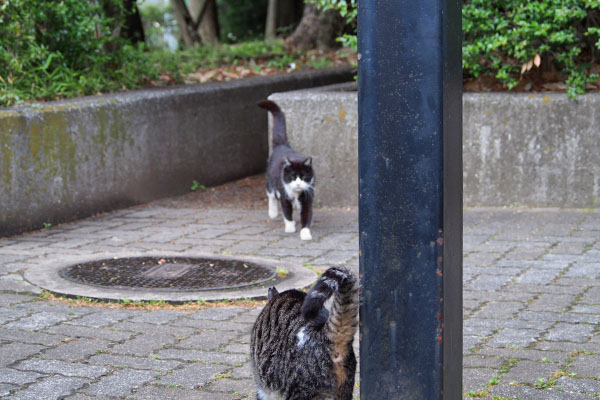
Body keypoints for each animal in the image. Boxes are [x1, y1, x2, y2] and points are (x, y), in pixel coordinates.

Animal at [256, 99, 314, 241]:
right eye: (292, 177)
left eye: (304, 177)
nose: (298, 184)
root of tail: (283, 145)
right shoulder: (284, 194)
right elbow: (286, 211)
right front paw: (290, 227)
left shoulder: (307, 194)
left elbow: (306, 214)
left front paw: (305, 233)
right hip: (270, 179)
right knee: (271, 195)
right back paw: (273, 212)